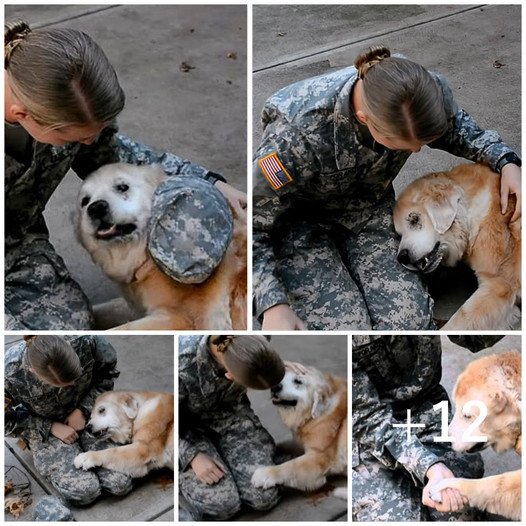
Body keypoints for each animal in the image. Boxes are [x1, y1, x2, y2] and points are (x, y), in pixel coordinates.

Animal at [75, 163, 249, 332]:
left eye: (122, 187)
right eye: (85, 201)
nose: (96, 208)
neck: (147, 258)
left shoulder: (178, 318)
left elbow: (121, 329)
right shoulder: (135, 305)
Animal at [253, 368, 348, 500]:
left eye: (298, 381)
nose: (274, 387)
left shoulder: (318, 458)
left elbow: (290, 466)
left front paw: (264, 474)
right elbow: (288, 444)